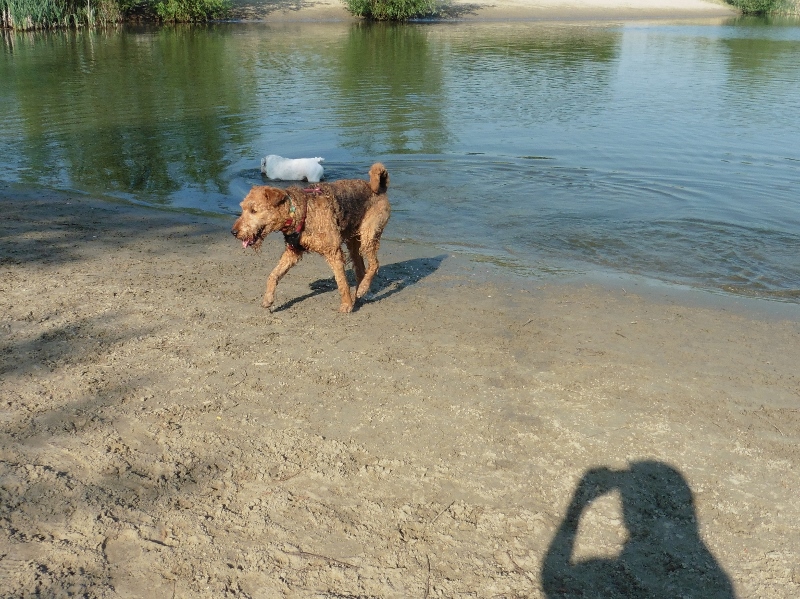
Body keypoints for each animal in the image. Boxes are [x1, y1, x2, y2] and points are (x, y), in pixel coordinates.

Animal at [232, 163, 390, 313]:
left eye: (253, 210)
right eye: (243, 208)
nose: (233, 232)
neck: (299, 212)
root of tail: (378, 188)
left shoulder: (333, 253)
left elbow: (342, 282)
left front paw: (346, 305)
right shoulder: (292, 252)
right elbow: (273, 274)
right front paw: (268, 299)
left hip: (369, 235)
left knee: (374, 264)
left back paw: (362, 289)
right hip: (354, 242)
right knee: (361, 269)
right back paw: (361, 292)